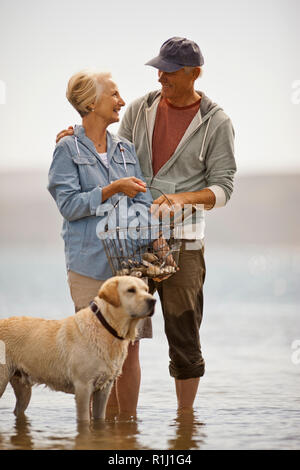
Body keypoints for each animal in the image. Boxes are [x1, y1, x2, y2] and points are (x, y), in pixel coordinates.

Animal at [0, 276, 155, 422]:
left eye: (146, 289)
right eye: (131, 290)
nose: (153, 301)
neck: (107, 327)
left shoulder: (104, 389)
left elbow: (100, 418)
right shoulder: (83, 387)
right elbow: (85, 419)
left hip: (23, 387)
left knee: (18, 410)